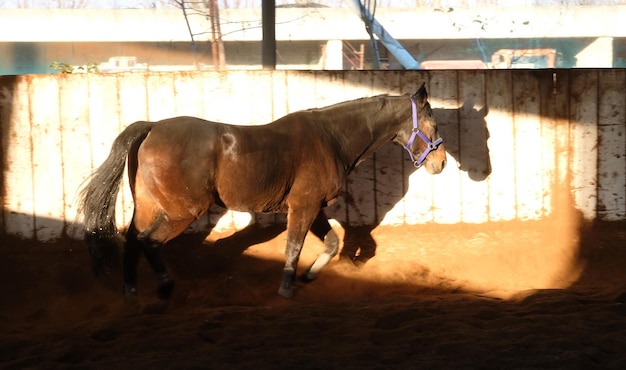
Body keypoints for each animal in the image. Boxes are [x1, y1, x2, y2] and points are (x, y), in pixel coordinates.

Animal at [78, 82, 446, 300]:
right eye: (433, 123)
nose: (440, 162)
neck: (331, 138)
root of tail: (151, 127)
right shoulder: (303, 206)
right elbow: (294, 247)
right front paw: (286, 287)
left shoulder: (314, 207)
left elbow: (330, 243)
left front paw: (309, 276)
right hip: (183, 211)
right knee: (149, 241)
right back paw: (166, 286)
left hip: (149, 205)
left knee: (131, 239)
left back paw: (130, 289)